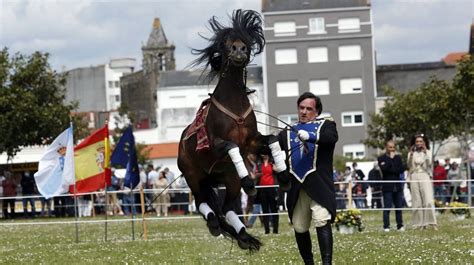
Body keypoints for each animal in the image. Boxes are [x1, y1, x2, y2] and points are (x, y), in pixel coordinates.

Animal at [179, 9, 286, 251]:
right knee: (202, 203)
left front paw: (284, 173)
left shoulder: (253, 142)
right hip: (192, 174)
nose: (239, 49)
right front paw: (249, 180)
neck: (234, 105)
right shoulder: (215, 146)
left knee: (227, 209)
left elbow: (271, 139)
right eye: (226, 42)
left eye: (245, 40)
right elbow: (231, 145)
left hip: (228, 179)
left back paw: (244, 236)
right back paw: (213, 223)